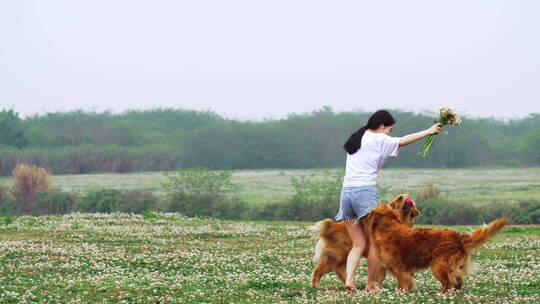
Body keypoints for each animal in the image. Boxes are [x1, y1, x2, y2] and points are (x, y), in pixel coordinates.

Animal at [368, 203, 506, 294]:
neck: (388, 228)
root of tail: (459, 237)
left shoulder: (399, 268)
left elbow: (402, 284)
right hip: (454, 266)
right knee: (458, 281)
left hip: (438, 266)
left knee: (449, 282)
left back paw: (440, 294)